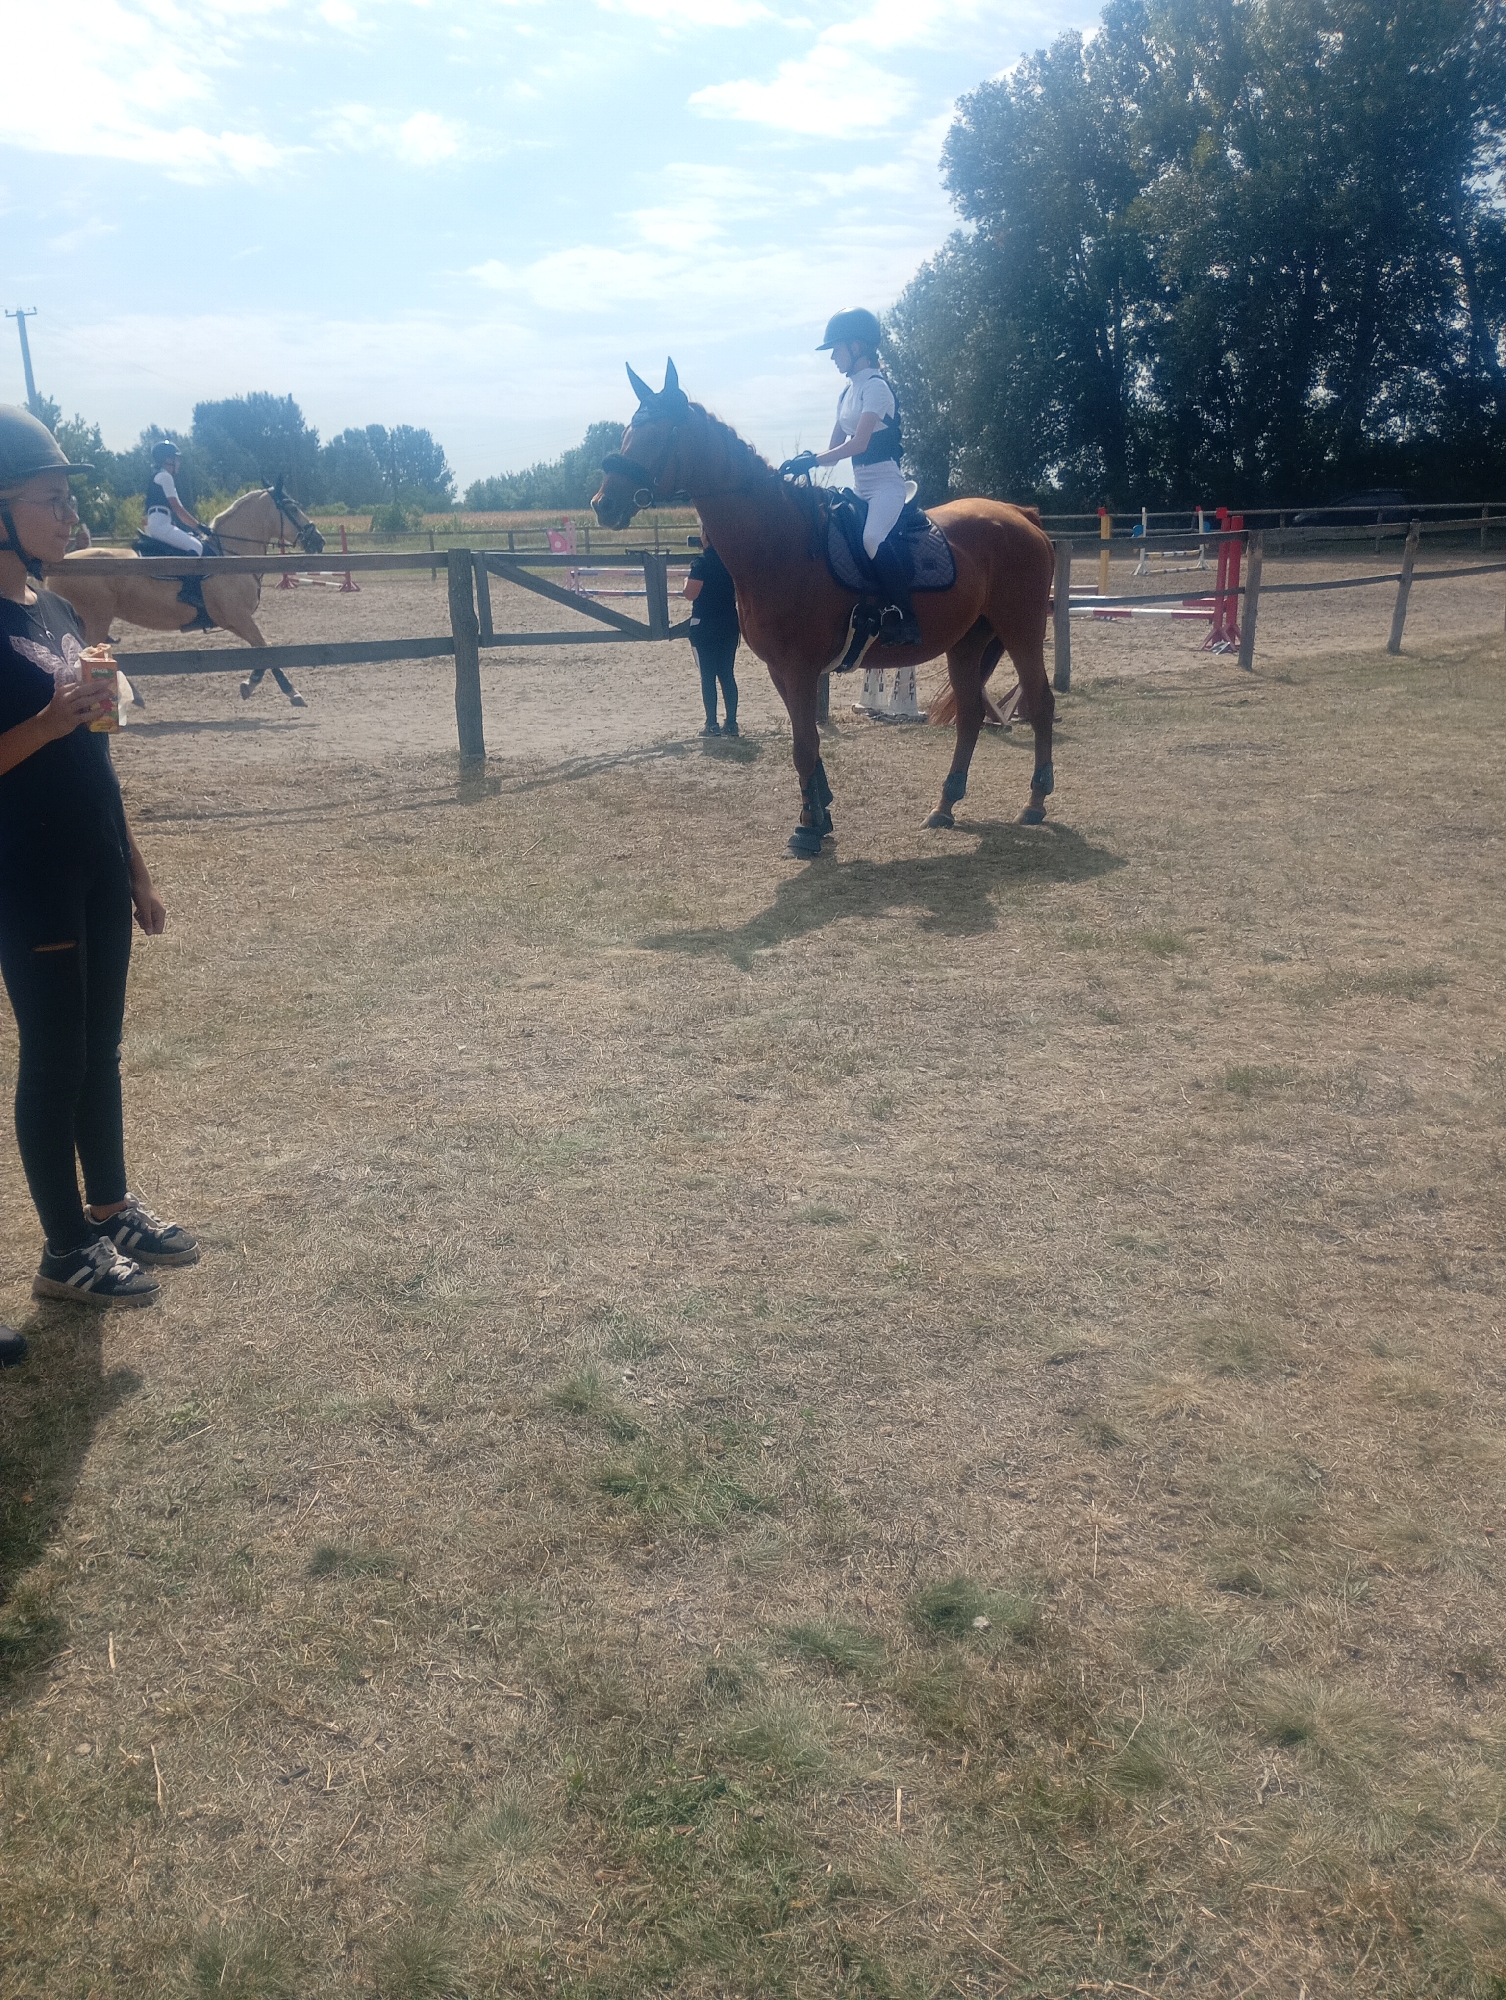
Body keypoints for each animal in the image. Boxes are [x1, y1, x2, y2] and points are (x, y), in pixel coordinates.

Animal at [50, 483, 326, 707]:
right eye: (292, 508)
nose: (319, 540)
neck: (230, 556)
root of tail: (59, 563)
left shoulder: (232, 620)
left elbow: (261, 648)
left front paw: (250, 684)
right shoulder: (239, 617)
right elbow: (266, 648)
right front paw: (292, 693)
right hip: (95, 619)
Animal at [591, 361, 1057, 858]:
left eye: (660, 434)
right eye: (628, 433)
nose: (602, 505)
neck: (781, 543)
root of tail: (1020, 514)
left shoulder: (799, 668)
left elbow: (803, 745)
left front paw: (808, 830)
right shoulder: (782, 670)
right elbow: (807, 744)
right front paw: (818, 813)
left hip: (1021, 630)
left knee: (1041, 702)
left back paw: (1035, 802)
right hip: (968, 642)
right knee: (969, 716)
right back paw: (944, 807)